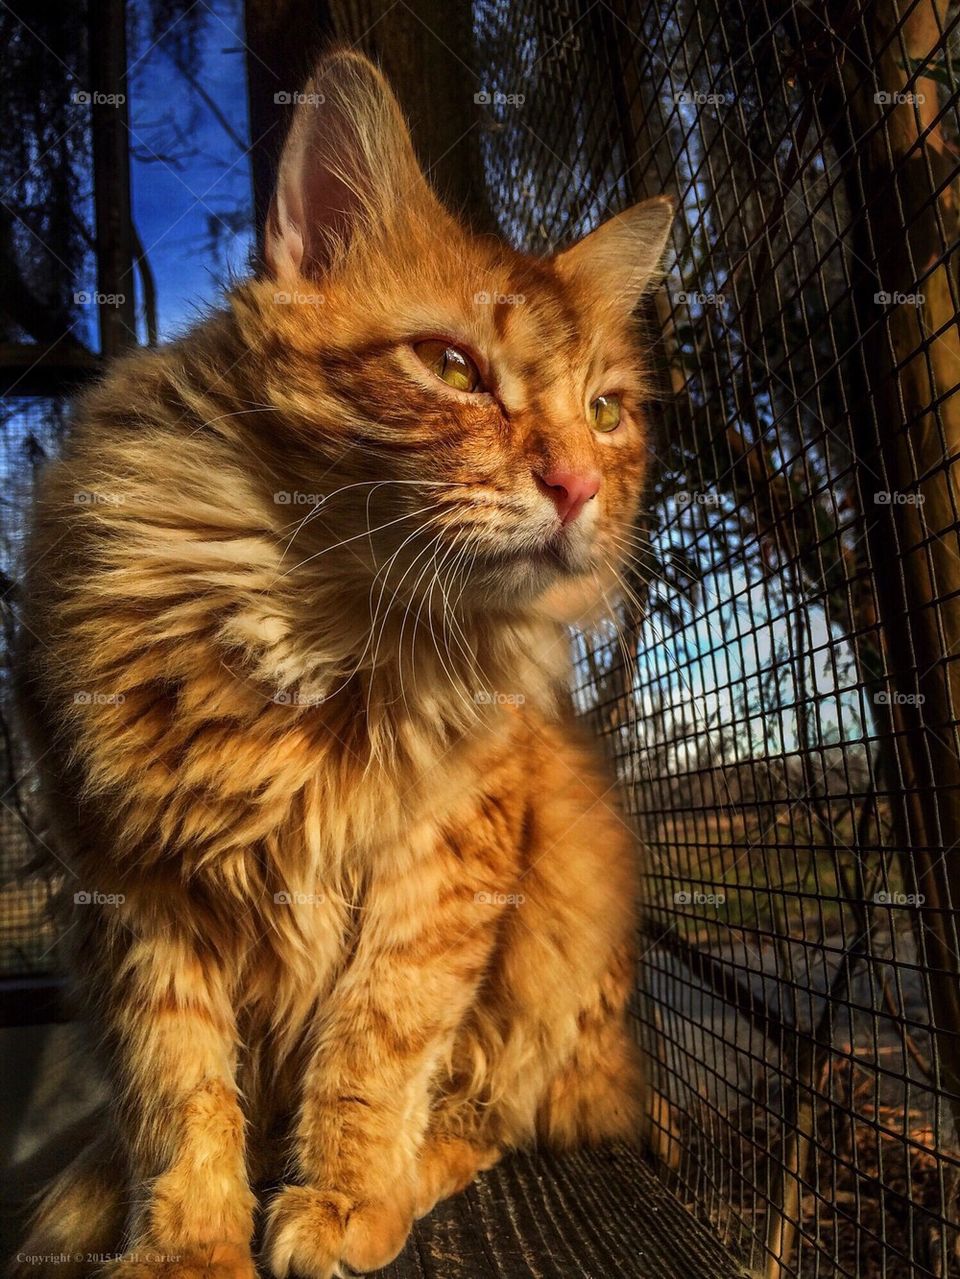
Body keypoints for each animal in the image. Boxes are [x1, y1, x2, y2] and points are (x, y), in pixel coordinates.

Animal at [16, 49, 674, 1279]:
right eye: (453, 367)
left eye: (607, 410)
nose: (577, 485)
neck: (321, 626)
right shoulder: (133, 885)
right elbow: (177, 1095)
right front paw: (187, 1242)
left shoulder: (445, 857)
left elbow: (377, 1039)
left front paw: (343, 1194)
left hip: (565, 906)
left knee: (496, 1114)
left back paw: (407, 1180)